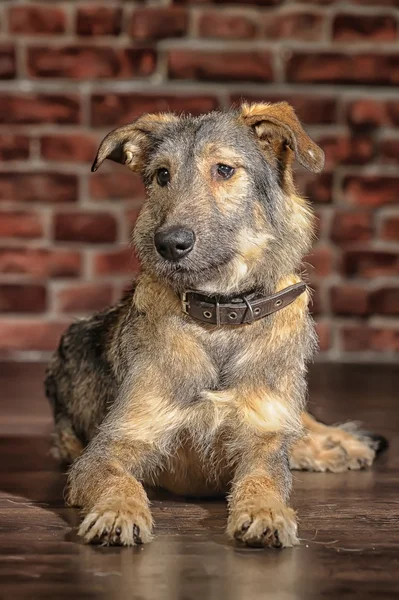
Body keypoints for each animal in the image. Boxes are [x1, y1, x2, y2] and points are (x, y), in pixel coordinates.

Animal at [45, 102, 386, 548]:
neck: (221, 315)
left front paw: (266, 512)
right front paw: (117, 512)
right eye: (162, 175)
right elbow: (119, 480)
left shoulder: (261, 438)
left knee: (302, 424)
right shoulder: (113, 443)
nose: (169, 243)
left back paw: (339, 444)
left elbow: (264, 478)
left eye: (224, 170)